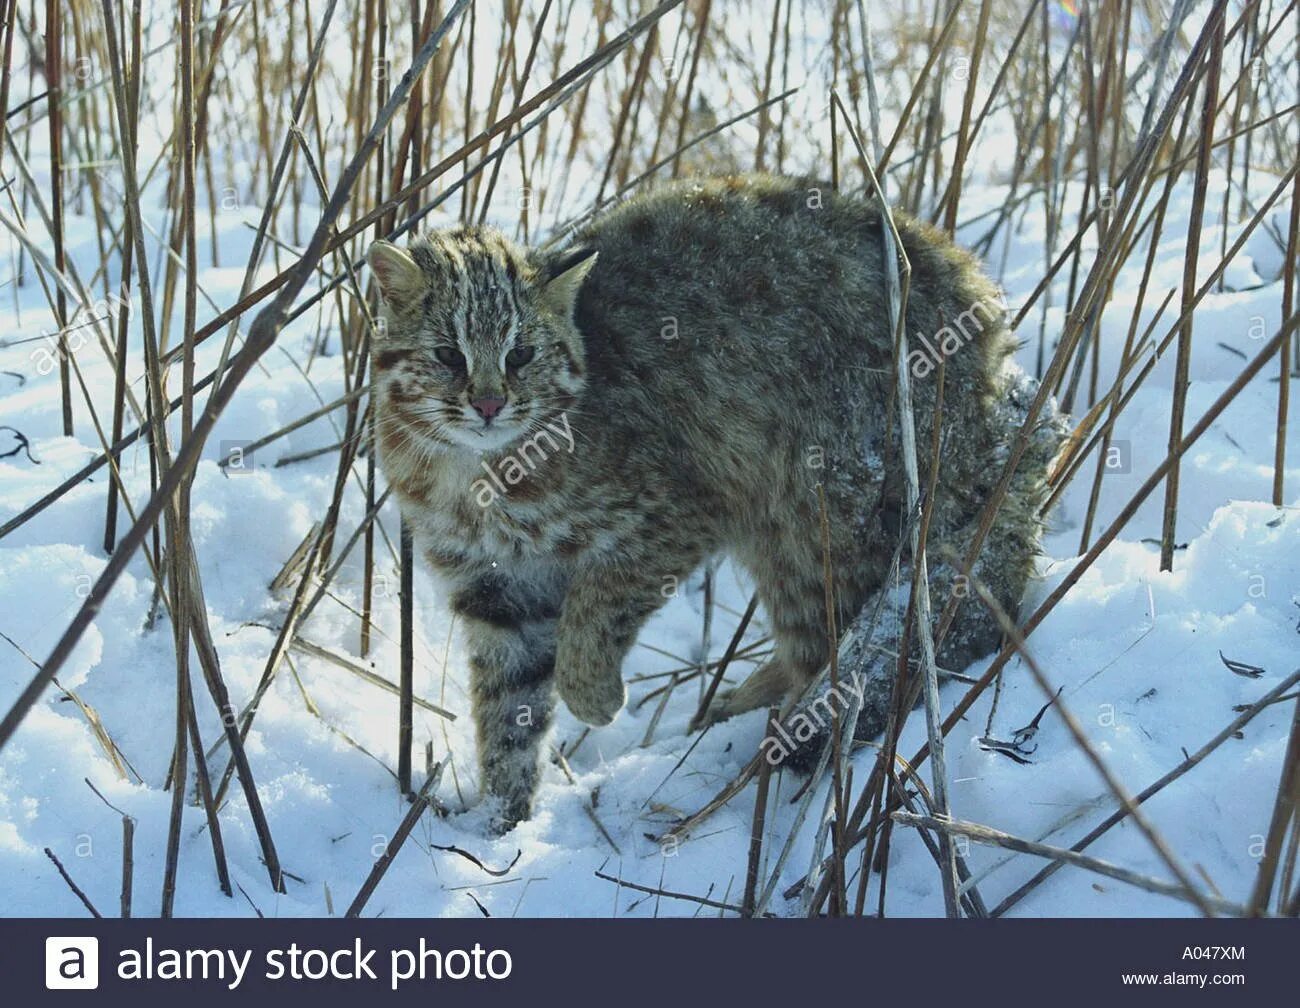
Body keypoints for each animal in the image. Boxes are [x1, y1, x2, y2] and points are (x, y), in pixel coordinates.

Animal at [369, 172, 1066, 827]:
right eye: (447, 355)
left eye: (521, 354)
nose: (489, 405)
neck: (472, 472)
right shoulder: (495, 589)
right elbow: (508, 710)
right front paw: (500, 820)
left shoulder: (673, 516)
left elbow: (594, 610)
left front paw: (595, 696)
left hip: (817, 510)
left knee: (862, 644)